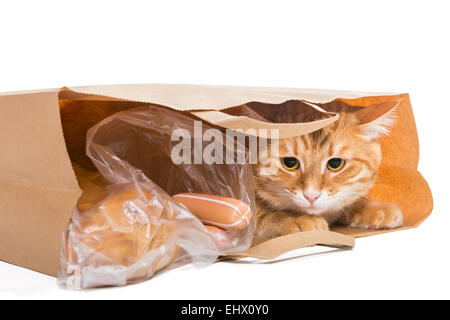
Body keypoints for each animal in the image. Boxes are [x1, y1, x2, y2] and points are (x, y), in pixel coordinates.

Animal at [253, 103, 404, 238]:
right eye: (290, 162)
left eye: (335, 163)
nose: (311, 196)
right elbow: (259, 210)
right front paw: (294, 218)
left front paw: (373, 207)